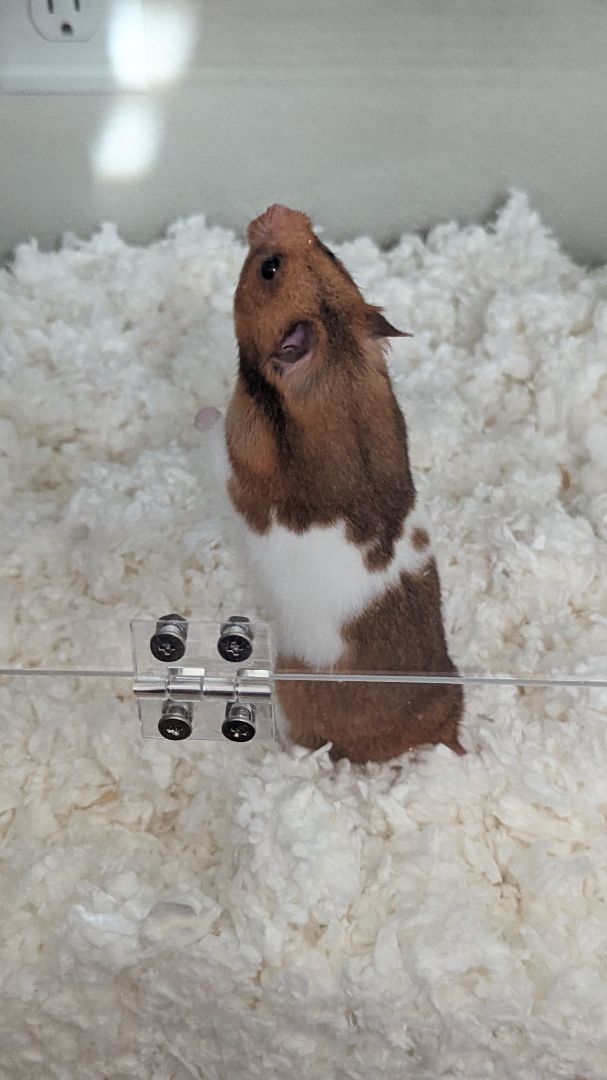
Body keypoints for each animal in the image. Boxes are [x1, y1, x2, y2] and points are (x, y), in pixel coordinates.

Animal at [224, 204, 464, 763]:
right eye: (331, 249)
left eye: (269, 269)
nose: (279, 210)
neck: (338, 365)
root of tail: (439, 733)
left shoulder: (240, 433)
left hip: (292, 685)